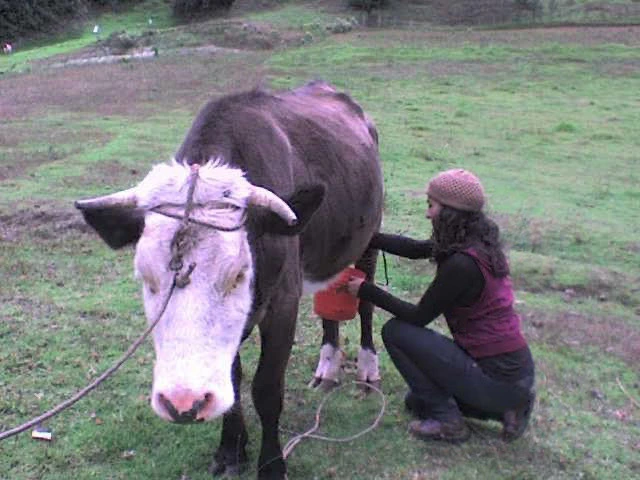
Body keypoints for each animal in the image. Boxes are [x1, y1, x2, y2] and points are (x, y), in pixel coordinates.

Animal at [75, 81, 383, 479]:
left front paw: (271, 464)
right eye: (146, 277)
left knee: (365, 300)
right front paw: (231, 449)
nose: (183, 402)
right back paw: (328, 365)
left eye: (238, 274)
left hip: (370, 236)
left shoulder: (284, 303)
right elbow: (233, 376)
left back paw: (367, 366)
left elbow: (266, 388)